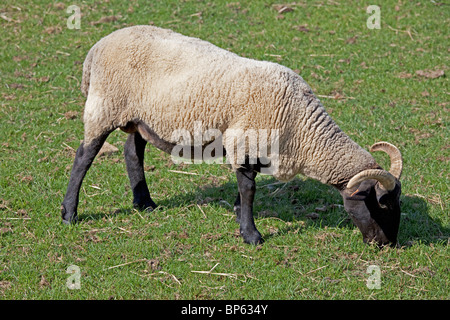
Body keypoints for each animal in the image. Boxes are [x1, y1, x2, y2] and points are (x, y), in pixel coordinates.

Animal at [60, 26, 404, 248]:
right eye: (381, 204)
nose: (389, 244)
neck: (301, 126)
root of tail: (97, 47)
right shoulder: (245, 141)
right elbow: (249, 188)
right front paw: (251, 235)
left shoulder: (251, 147)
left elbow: (246, 188)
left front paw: (240, 216)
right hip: (105, 105)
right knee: (83, 156)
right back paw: (69, 214)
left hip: (142, 116)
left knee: (133, 151)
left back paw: (144, 204)